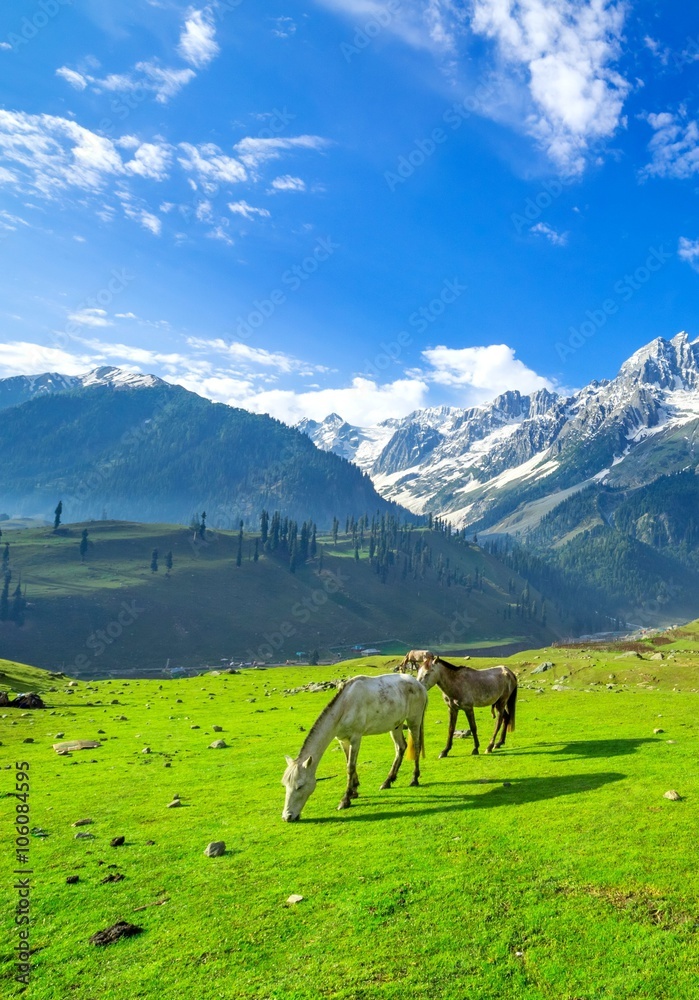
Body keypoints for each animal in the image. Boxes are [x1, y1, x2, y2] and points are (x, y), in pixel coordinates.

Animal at [284, 672, 426, 820]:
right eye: (285, 785)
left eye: (300, 786)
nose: (287, 816)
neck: (345, 706)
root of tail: (419, 685)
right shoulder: (343, 740)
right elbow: (349, 763)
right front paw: (354, 791)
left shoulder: (356, 738)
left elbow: (350, 767)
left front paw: (345, 800)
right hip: (396, 725)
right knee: (401, 747)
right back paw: (387, 781)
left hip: (414, 720)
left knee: (416, 746)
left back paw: (414, 779)